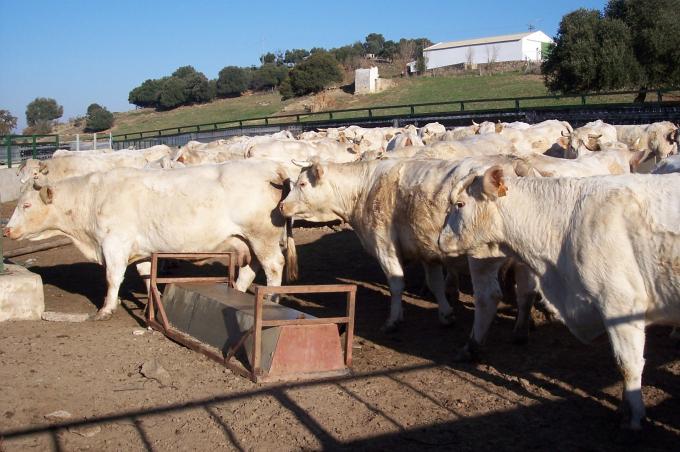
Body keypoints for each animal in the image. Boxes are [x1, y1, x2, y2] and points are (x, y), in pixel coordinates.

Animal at [4, 160, 297, 320]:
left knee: (273, 267)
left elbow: (112, 278)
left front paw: (105, 309)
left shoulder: (115, 244)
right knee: (250, 270)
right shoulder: (142, 250)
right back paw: (236, 291)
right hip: (248, 241)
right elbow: (147, 276)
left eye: (26, 205)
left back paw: (272, 299)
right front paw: (151, 303)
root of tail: (272, 166)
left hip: (263, 238)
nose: (7, 231)